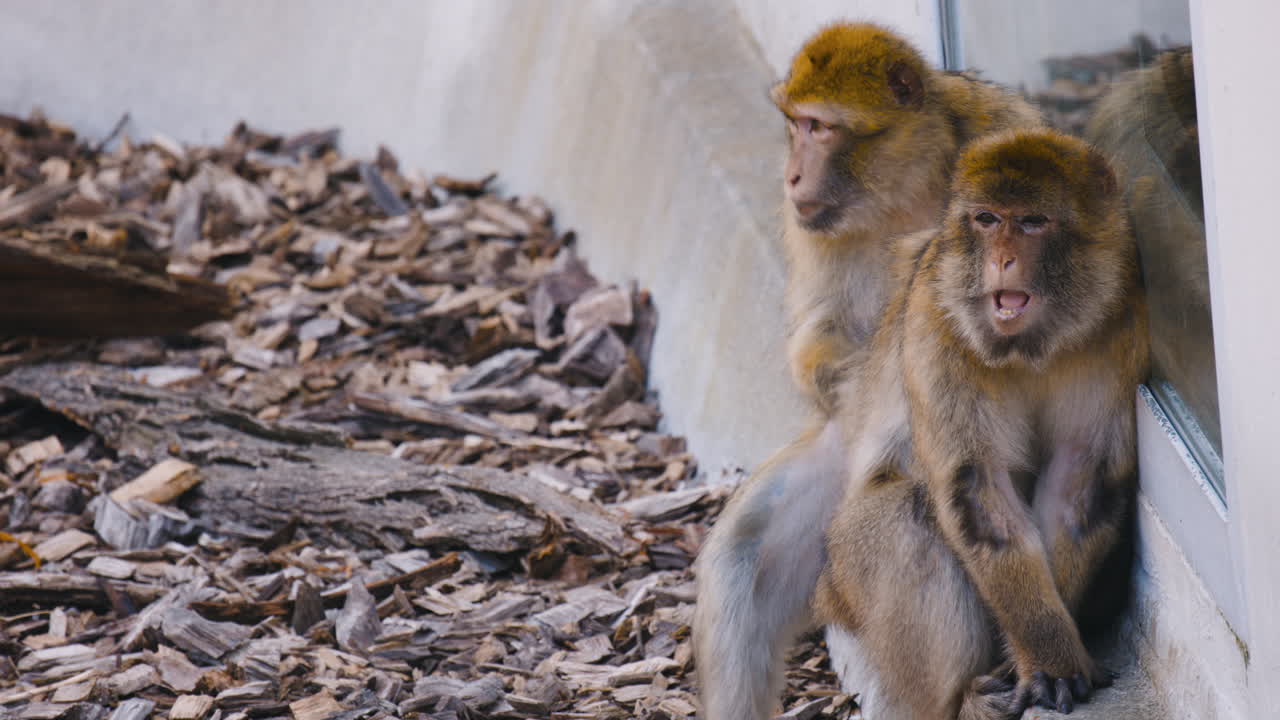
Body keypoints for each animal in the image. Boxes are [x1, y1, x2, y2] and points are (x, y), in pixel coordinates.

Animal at [694, 22, 1041, 720]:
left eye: (821, 127)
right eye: (795, 124)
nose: (792, 172)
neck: (909, 190)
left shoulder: (1003, 132)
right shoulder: (809, 224)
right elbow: (817, 334)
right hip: (834, 473)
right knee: (740, 564)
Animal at [816, 128, 1149, 718]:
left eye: (1034, 222)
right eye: (988, 219)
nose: (1003, 260)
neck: (1035, 348)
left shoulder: (1120, 328)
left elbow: (1079, 485)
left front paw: (1040, 654)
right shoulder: (937, 323)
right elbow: (979, 492)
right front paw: (1049, 657)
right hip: (846, 577)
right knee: (906, 515)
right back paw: (958, 700)